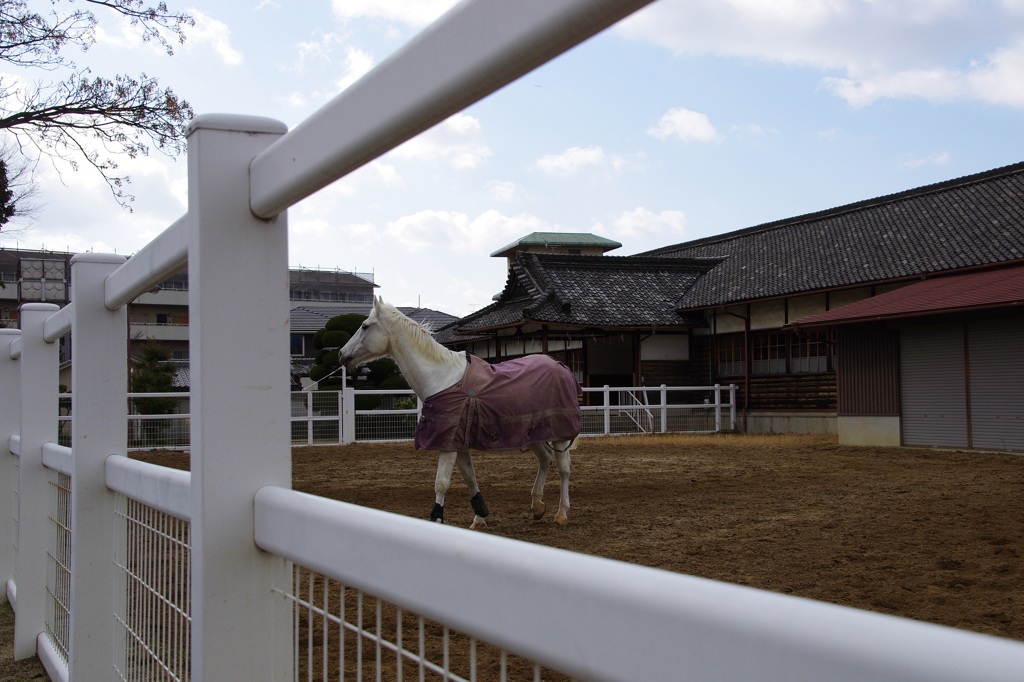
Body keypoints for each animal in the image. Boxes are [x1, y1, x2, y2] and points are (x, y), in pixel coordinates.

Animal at [339, 296, 581, 524]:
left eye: (365, 326)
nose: (341, 354)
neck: (442, 379)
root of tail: (562, 366)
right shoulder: (458, 442)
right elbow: (469, 477)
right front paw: (480, 516)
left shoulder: (448, 443)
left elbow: (442, 482)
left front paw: (436, 517)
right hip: (530, 434)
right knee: (545, 459)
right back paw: (537, 506)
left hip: (559, 434)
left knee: (564, 468)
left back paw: (561, 513)